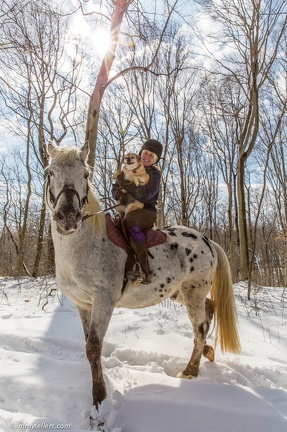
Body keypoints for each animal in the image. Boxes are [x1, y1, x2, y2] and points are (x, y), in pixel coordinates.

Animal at [46, 141, 242, 412]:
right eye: (50, 172)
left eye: (85, 174)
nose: (67, 217)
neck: (86, 244)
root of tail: (207, 241)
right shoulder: (83, 304)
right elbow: (88, 344)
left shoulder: (103, 301)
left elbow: (94, 347)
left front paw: (99, 399)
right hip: (179, 292)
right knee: (209, 308)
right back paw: (206, 352)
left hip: (193, 291)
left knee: (200, 327)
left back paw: (190, 370)